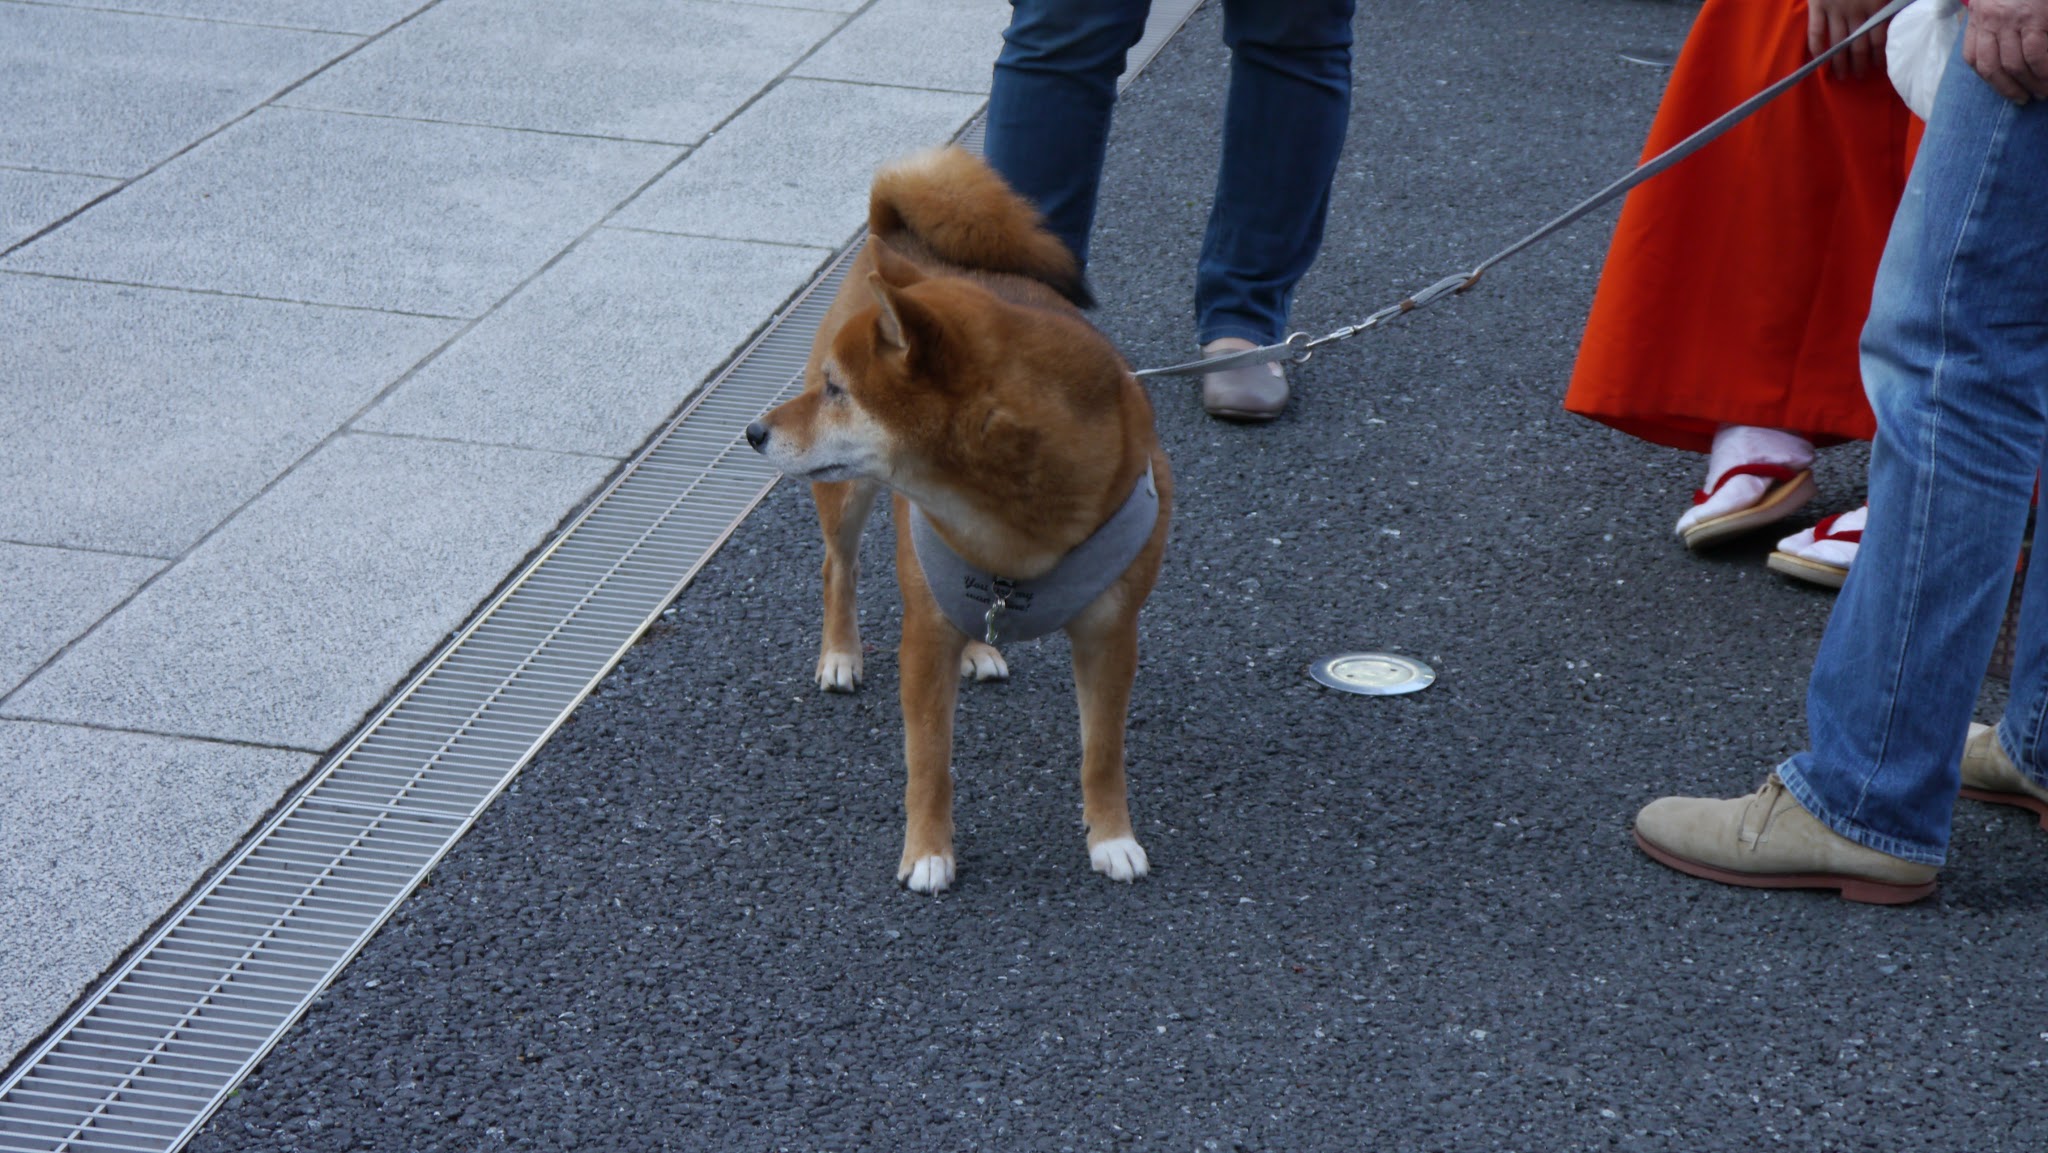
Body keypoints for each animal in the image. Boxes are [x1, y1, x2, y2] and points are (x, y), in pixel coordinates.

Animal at [749, 148, 1171, 897]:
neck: (1011, 519)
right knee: (837, 569)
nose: (752, 431)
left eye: (836, 390)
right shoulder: (923, 636)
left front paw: (1112, 837)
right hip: (847, 500)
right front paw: (927, 852)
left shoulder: (1111, 633)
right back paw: (841, 654)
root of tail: (896, 235)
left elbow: (1101, 751)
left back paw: (979, 648)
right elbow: (929, 760)